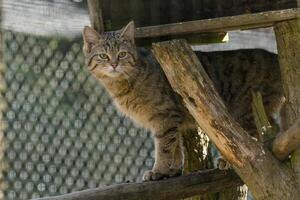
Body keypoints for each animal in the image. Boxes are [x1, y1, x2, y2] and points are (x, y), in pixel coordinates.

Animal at [82, 21, 284, 181]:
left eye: (122, 54)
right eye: (103, 56)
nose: (114, 64)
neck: (124, 83)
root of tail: (275, 57)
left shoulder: (164, 116)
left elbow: (164, 147)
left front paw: (159, 170)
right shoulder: (173, 119)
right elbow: (176, 146)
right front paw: (172, 170)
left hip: (244, 111)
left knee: (251, 144)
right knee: (271, 128)